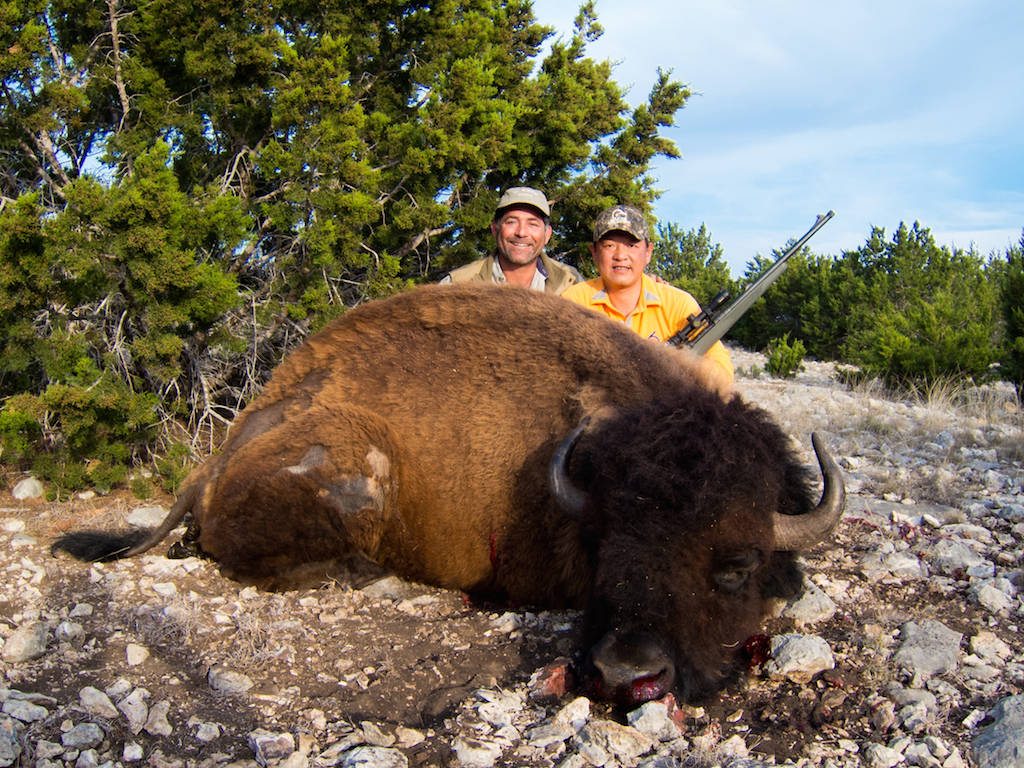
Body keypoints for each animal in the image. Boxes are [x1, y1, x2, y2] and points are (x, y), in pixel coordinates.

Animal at [51, 280, 843, 704]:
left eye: (735, 563)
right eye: (605, 547)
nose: (627, 673)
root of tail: (214, 462)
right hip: (359, 461)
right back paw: (374, 579)